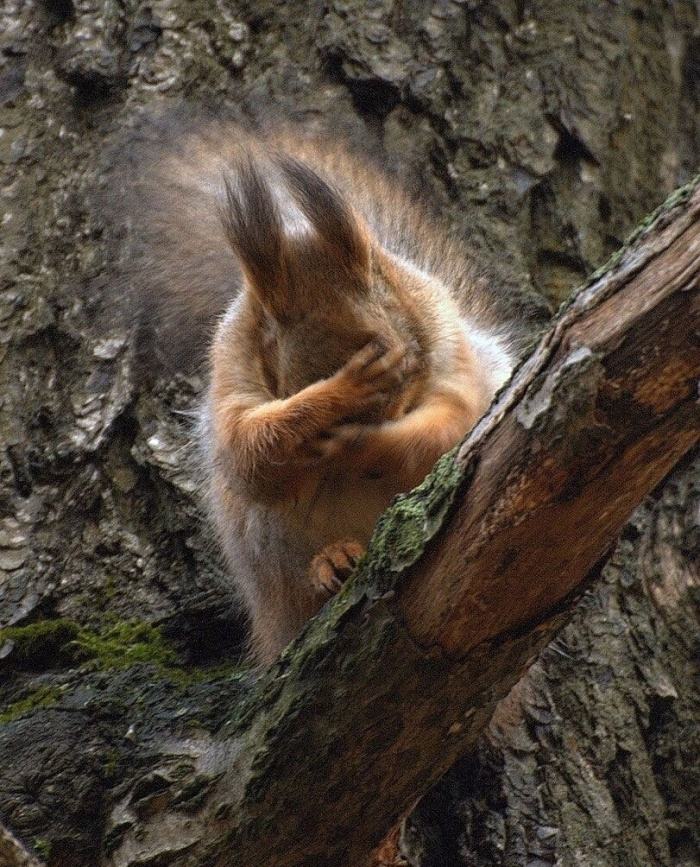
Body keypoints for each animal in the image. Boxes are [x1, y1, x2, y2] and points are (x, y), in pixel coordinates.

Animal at [108, 115, 532, 664]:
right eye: (292, 377)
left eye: (409, 358)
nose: (369, 417)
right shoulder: (230, 367)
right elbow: (249, 451)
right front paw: (340, 396)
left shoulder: (450, 348)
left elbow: (447, 427)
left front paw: (361, 443)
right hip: (267, 544)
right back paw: (331, 561)